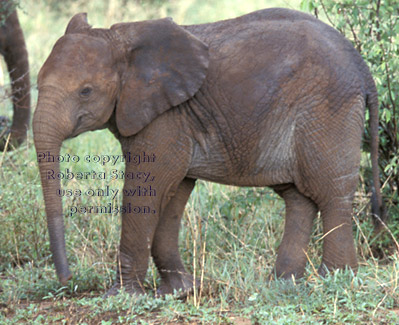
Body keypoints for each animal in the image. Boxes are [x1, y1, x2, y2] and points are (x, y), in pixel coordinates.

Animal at [33, 8, 384, 296]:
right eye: (37, 84)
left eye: (86, 92)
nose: (67, 280)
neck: (120, 40)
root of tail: (364, 69)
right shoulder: (173, 119)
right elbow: (173, 195)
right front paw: (179, 291)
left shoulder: (165, 118)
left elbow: (148, 189)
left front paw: (121, 296)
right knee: (299, 197)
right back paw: (284, 284)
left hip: (329, 108)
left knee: (329, 192)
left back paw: (333, 280)